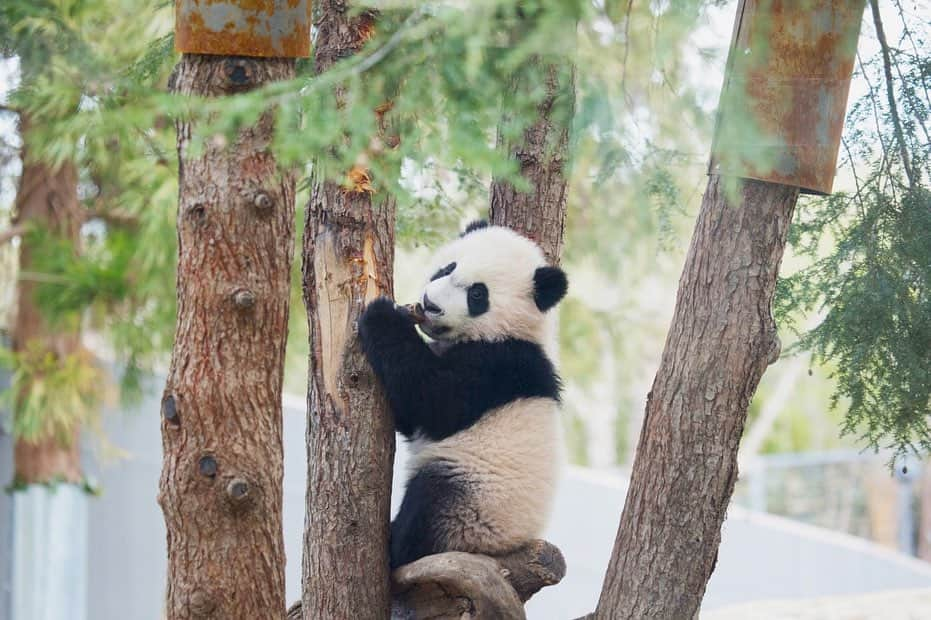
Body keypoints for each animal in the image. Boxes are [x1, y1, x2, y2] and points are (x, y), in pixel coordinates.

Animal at [358, 220, 568, 568]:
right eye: (448, 267)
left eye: (477, 294)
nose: (430, 304)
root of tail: (504, 548)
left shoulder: (500, 367)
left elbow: (433, 399)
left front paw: (382, 315)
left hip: (476, 501)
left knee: (431, 499)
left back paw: (397, 546)